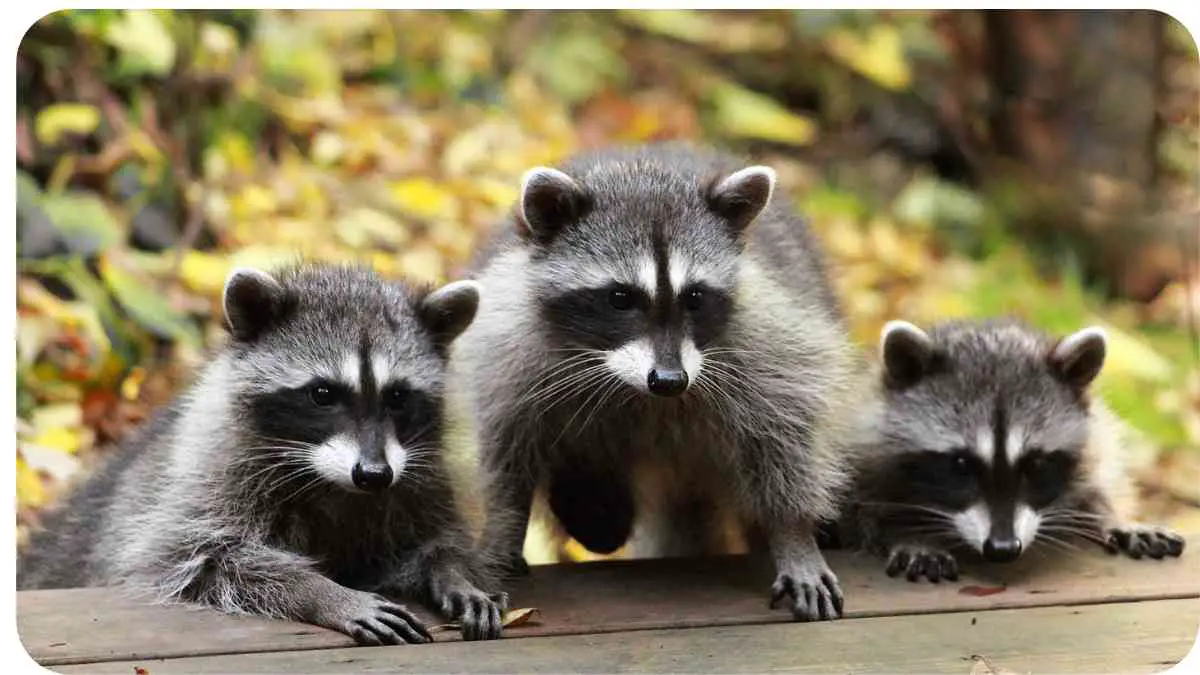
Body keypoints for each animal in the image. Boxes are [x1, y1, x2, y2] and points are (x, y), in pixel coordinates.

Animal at [17, 264, 509, 643]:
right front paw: (323, 592)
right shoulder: (211, 473)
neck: (332, 481)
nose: (373, 474)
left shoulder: (419, 476)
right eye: (323, 394)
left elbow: (432, 540)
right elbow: (204, 557)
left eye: (398, 397)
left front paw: (452, 572)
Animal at [451, 142, 863, 621]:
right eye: (619, 298)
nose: (670, 380)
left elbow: (785, 434)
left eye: (695, 297)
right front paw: (504, 528)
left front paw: (793, 534)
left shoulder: (768, 343)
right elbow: (507, 453)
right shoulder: (508, 349)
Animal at [842, 318, 1186, 582]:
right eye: (961, 464)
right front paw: (912, 535)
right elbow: (863, 513)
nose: (1003, 549)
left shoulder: (1095, 437)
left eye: (1035, 464)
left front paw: (1114, 516)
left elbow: (1098, 476)